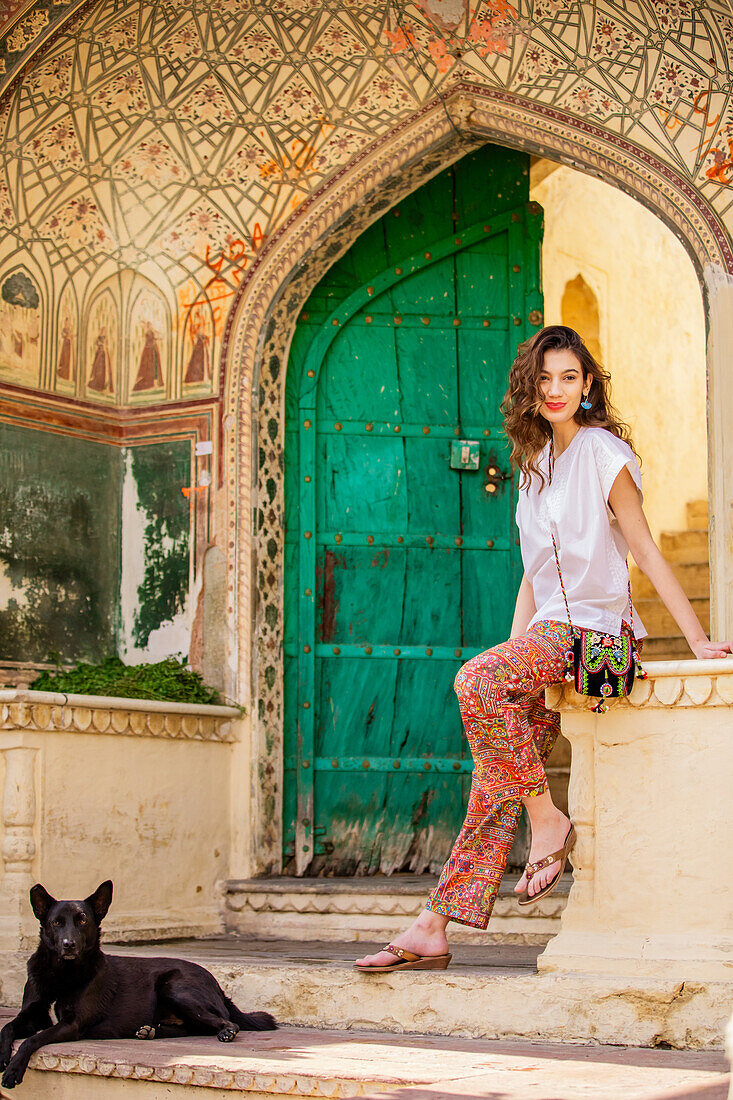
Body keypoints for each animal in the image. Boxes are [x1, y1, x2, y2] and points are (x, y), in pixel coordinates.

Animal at [0, 880, 274, 1086]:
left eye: (83, 920)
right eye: (56, 922)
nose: (69, 945)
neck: (61, 973)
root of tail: (215, 983)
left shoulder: (72, 1024)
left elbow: (32, 1040)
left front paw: (13, 1071)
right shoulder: (30, 1015)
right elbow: (7, 1028)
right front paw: (4, 1056)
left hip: (174, 987)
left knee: (224, 1021)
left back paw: (224, 1031)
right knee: (191, 1027)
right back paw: (150, 1031)